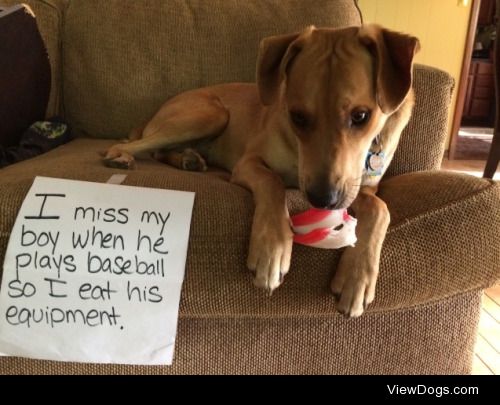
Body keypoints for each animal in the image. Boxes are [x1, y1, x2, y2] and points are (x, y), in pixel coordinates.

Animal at [103, 23, 420, 318]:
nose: (323, 199)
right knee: (137, 144)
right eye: (297, 117)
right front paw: (272, 249)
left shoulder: (361, 187)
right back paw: (121, 156)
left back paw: (188, 159)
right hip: (210, 114)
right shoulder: (250, 162)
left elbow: (380, 208)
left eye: (361, 116)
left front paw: (358, 278)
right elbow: (272, 181)